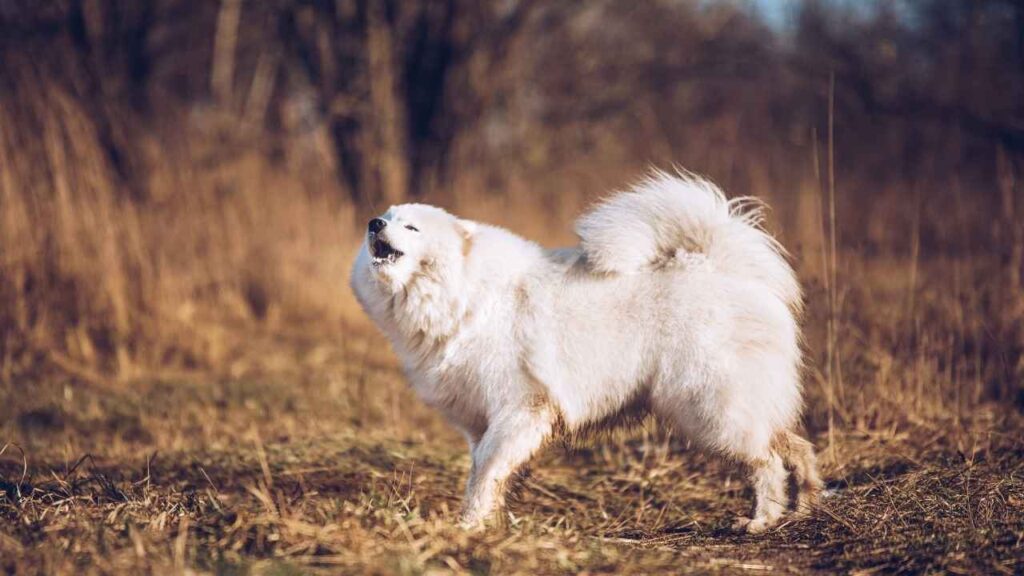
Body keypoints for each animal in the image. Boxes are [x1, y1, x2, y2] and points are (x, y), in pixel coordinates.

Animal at [352, 168, 823, 532]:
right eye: (387, 218)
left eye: (411, 227)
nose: (374, 223)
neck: (463, 296)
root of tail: (722, 265)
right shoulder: (479, 421)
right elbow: (484, 471)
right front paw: (488, 520)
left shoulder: (521, 408)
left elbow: (486, 470)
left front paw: (468, 525)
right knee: (795, 448)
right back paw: (805, 507)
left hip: (708, 406)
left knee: (766, 462)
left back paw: (761, 521)